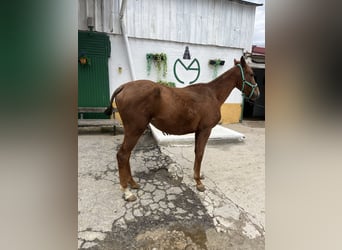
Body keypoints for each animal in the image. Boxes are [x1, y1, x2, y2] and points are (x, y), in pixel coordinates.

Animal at [104, 56, 260, 201]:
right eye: (251, 74)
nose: (257, 94)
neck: (212, 94)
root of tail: (124, 87)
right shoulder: (205, 130)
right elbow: (200, 154)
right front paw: (198, 182)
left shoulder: (199, 131)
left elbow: (197, 152)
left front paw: (198, 176)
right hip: (135, 130)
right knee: (123, 155)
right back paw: (127, 191)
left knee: (127, 155)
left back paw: (133, 183)